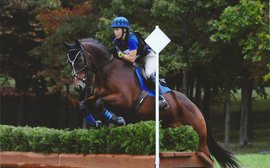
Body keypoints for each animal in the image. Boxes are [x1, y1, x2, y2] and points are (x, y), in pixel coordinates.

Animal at [64, 38, 239, 168]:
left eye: (80, 59)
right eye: (69, 62)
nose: (78, 86)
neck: (107, 70)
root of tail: (196, 107)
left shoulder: (124, 99)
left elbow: (101, 103)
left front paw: (117, 119)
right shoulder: (96, 96)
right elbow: (85, 104)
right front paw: (97, 123)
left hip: (200, 139)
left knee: (208, 159)